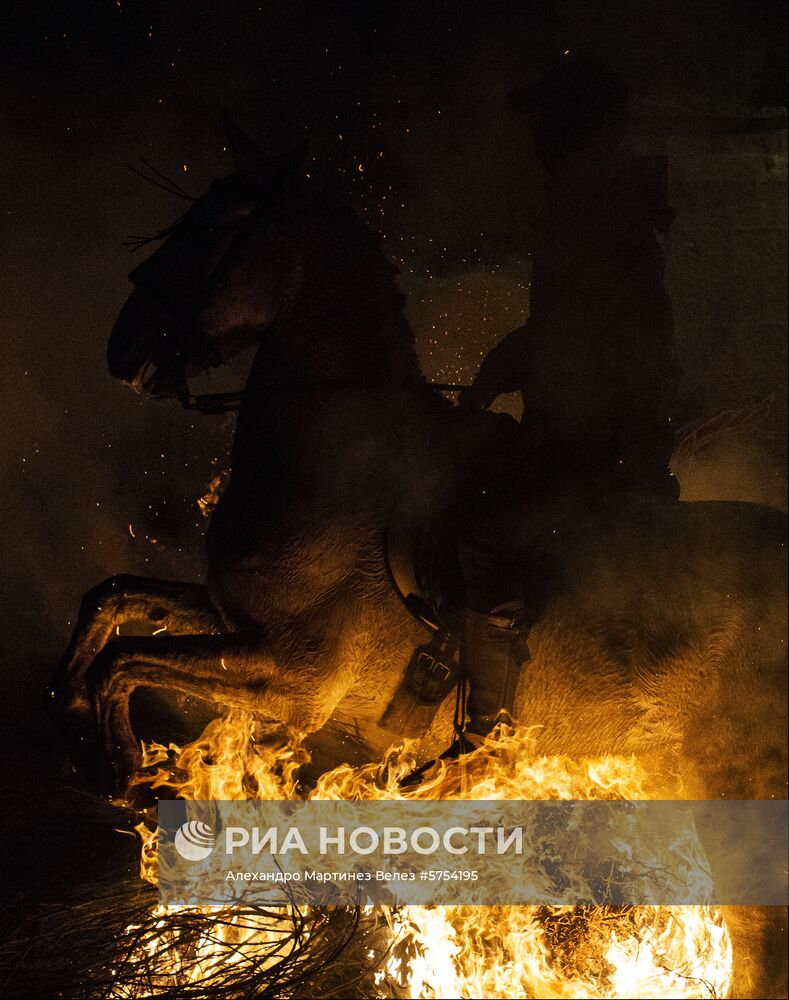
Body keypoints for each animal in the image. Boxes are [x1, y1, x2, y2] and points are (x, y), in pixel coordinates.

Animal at [49, 121, 780, 996]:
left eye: (219, 224)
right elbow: (112, 601)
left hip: (737, 786)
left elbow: (123, 658)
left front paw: (118, 763)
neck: (334, 460)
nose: (122, 348)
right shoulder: (232, 619)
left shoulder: (290, 680)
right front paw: (81, 727)